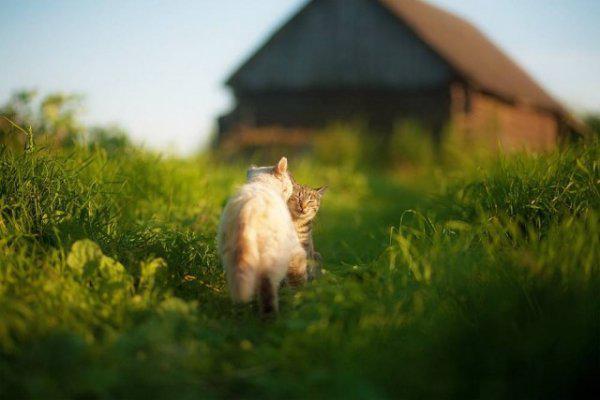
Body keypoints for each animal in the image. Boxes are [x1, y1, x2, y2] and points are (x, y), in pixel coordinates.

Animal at [218, 156, 308, 316]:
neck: (261, 183)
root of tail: (247, 210)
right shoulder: (294, 251)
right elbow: (299, 277)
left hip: (231, 260)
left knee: (240, 290)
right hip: (271, 262)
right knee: (267, 291)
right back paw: (271, 317)